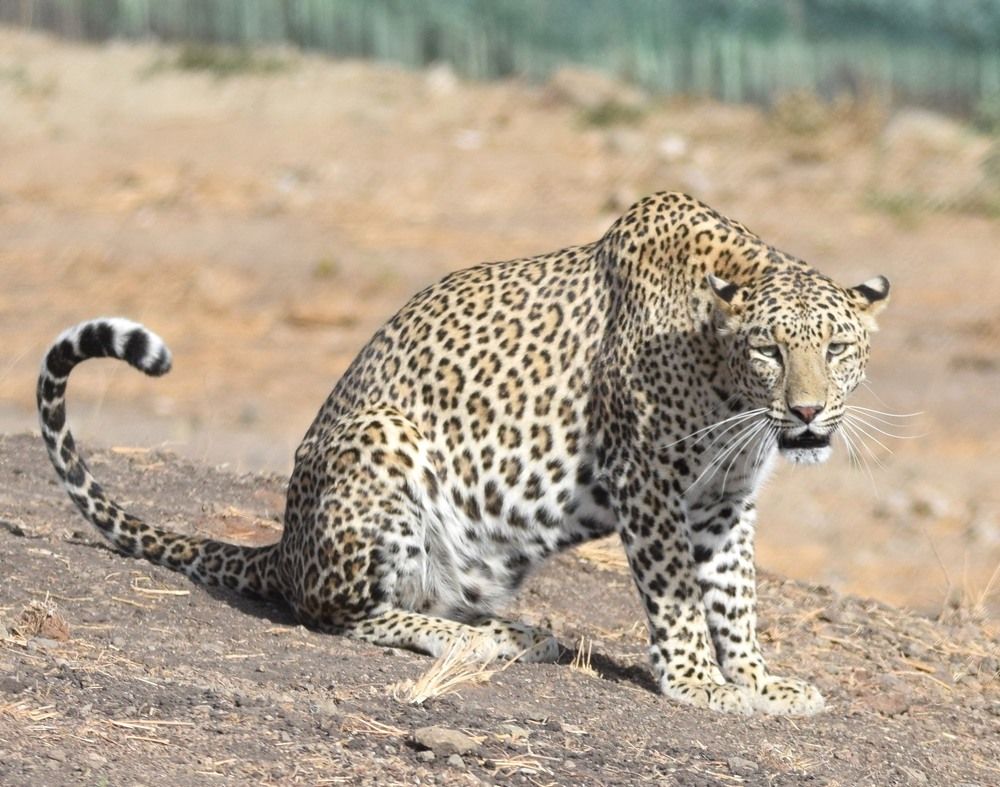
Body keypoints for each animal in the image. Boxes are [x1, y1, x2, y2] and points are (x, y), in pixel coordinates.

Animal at [38, 191, 890, 716]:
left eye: (838, 348)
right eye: (770, 349)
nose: (808, 411)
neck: (725, 380)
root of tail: (282, 545)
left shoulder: (722, 496)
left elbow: (735, 596)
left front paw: (759, 682)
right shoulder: (647, 480)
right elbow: (680, 596)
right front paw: (696, 683)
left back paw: (519, 634)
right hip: (382, 445)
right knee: (338, 612)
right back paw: (471, 640)